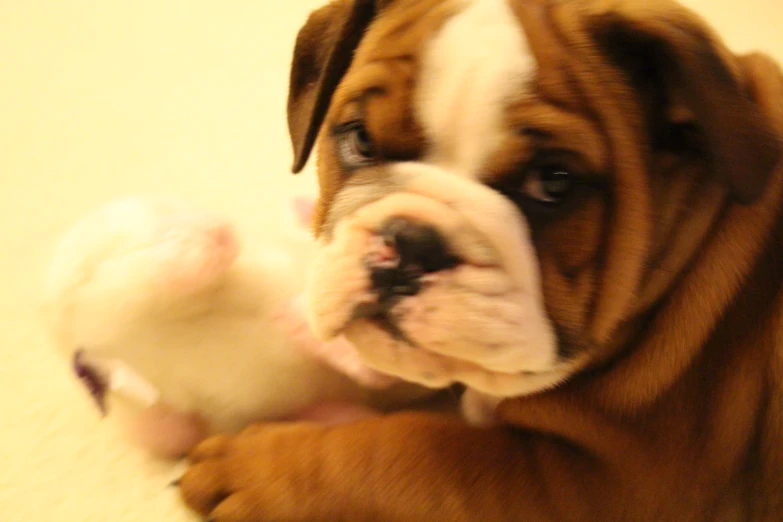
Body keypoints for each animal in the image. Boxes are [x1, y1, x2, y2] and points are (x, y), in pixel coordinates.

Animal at [181, 0, 783, 516]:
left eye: (553, 182)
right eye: (360, 140)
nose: (411, 244)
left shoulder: (602, 481)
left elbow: (404, 449)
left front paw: (254, 467)